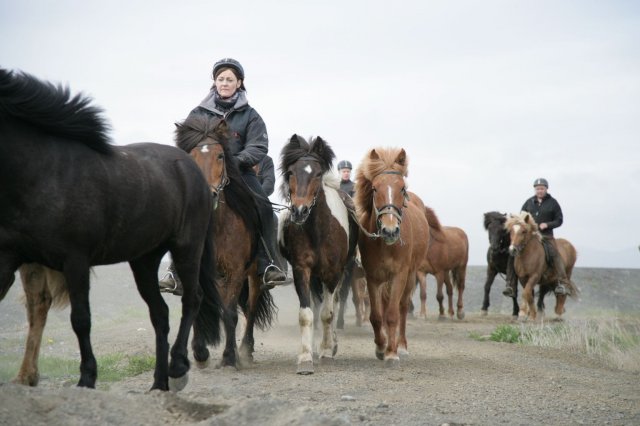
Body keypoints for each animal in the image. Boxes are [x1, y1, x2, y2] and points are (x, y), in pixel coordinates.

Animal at [0, 68, 221, 392]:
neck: (44, 171)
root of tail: (193, 171)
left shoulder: (75, 260)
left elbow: (81, 319)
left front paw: (87, 378)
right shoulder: (9, 258)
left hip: (187, 247)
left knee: (192, 299)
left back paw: (178, 368)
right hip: (144, 259)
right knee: (160, 314)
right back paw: (159, 383)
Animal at [175, 114, 278, 370]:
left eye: (221, 156)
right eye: (190, 157)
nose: (207, 193)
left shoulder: (235, 271)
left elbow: (230, 313)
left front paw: (229, 357)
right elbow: (197, 305)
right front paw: (200, 353)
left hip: (253, 275)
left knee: (250, 307)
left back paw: (246, 350)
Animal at [280, 135, 360, 374]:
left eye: (317, 173)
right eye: (291, 172)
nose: (299, 211)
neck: (317, 230)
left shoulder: (333, 273)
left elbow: (328, 313)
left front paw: (326, 350)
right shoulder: (302, 270)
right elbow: (307, 315)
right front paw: (306, 357)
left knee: (333, 304)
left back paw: (331, 344)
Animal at [356, 147, 430, 366]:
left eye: (402, 189)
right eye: (374, 189)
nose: (390, 230)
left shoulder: (399, 275)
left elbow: (392, 314)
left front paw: (391, 352)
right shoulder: (372, 277)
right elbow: (376, 315)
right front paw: (381, 347)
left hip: (411, 274)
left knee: (403, 307)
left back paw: (402, 346)